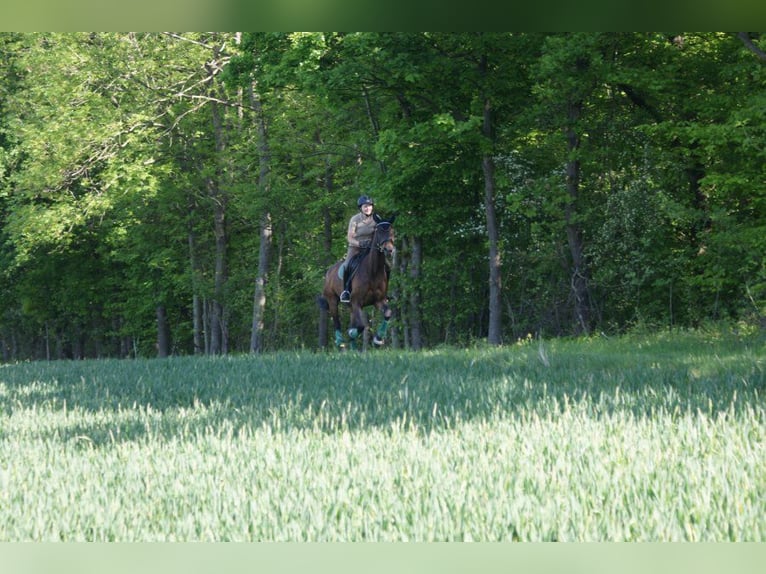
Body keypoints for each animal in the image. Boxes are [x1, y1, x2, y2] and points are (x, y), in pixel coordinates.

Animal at [320, 216, 400, 352]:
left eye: (392, 231)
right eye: (379, 231)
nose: (389, 250)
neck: (373, 271)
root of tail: (330, 271)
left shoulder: (378, 301)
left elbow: (387, 314)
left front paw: (378, 340)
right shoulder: (356, 301)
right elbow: (361, 326)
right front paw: (352, 334)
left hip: (351, 306)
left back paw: (353, 348)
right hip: (332, 300)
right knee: (336, 321)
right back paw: (340, 343)